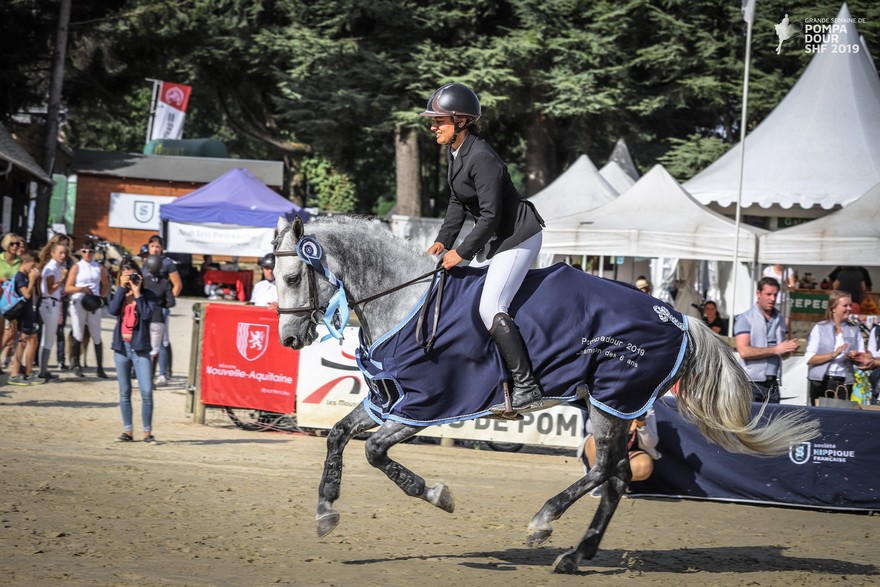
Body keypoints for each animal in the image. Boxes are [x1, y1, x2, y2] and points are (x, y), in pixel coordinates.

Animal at [274, 216, 820, 576]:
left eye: (292, 276)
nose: (289, 340)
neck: (404, 301)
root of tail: (678, 316)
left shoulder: (421, 408)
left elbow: (373, 451)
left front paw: (437, 494)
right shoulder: (386, 401)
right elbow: (338, 435)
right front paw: (326, 511)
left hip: (612, 402)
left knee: (605, 471)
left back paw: (543, 521)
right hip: (608, 406)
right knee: (617, 478)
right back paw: (576, 556)